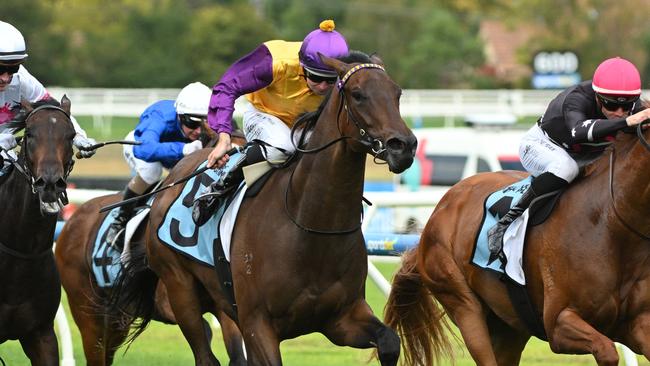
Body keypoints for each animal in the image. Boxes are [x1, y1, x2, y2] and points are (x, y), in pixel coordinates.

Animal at [112, 50, 416, 364]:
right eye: (358, 95)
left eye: (397, 93)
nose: (403, 146)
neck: (310, 226)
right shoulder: (257, 324)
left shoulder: (342, 319)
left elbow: (389, 341)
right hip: (180, 289)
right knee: (205, 354)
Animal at [382, 124, 650, 364]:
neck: (609, 222)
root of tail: (440, 209)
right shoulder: (558, 324)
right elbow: (607, 351)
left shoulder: (638, 322)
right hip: (461, 301)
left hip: (509, 325)